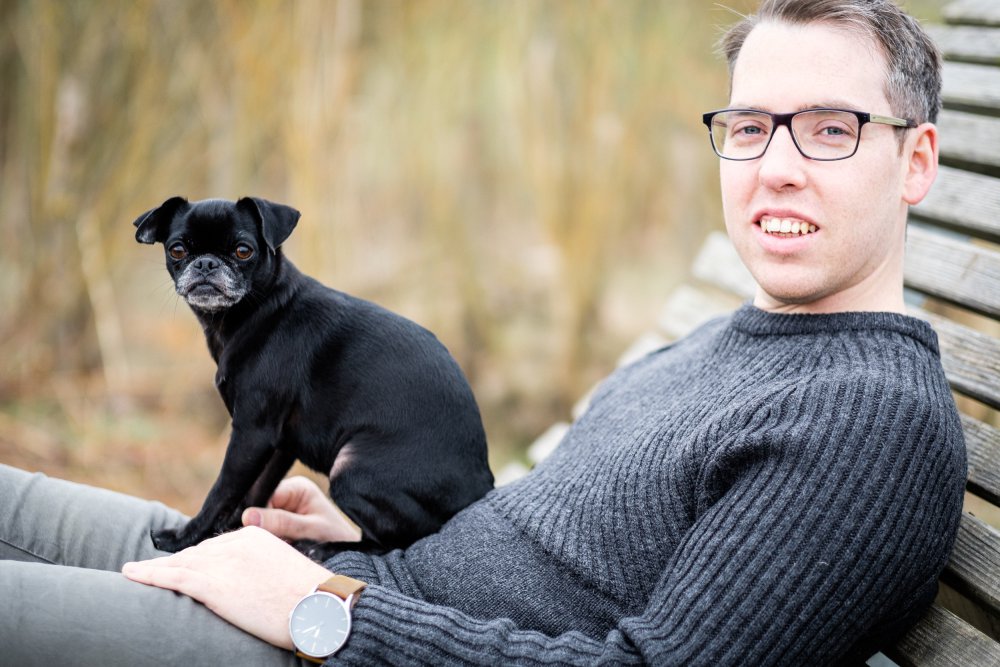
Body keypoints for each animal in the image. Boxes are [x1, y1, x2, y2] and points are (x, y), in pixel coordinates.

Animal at [134, 196, 494, 556]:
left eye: (243, 251)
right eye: (178, 250)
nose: (206, 264)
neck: (259, 308)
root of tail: (482, 484)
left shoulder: (252, 433)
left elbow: (222, 490)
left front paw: (184, 537)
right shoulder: (278, 444)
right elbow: (254, 491)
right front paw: (235, 530)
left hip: (349, 470)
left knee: (392, 542)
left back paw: (325, 546)